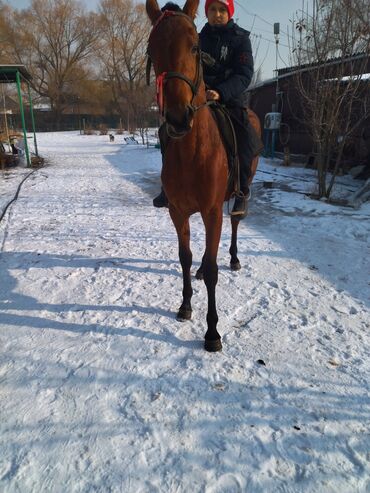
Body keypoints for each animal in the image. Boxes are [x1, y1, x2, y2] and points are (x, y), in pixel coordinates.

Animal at [146, 0, 262, 354]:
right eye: (152, 50)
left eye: (195, 46)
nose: (177, 117)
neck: (193, 151)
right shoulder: (178, 211)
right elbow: (185, 257)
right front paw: (185, 305)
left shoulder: (211, 211)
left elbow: (212, 269)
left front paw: (212, 332)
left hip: (235, 196)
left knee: (235, 221)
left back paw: (234, 258)